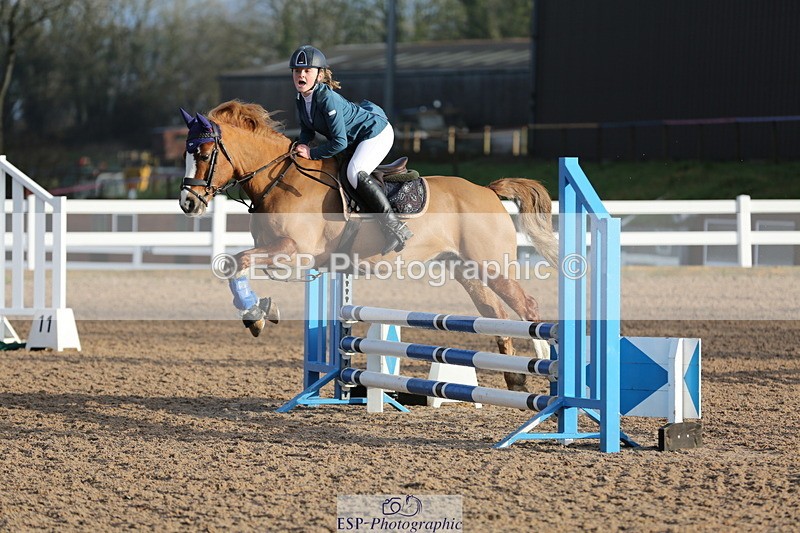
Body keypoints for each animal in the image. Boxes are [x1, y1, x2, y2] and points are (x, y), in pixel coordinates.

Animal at [178, 100, 558, 392]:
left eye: (206, 154)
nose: (187, 203)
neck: (278, 180)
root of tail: (489, 190)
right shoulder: (282, 254)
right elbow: (235, 263)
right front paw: (259, 310)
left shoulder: (296, 252)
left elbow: (237, 261)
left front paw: (255, 317)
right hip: (463, 267)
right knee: (496, 313)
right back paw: (515, 378)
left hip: (491, 264)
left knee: (526, 306)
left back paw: (544, 366)